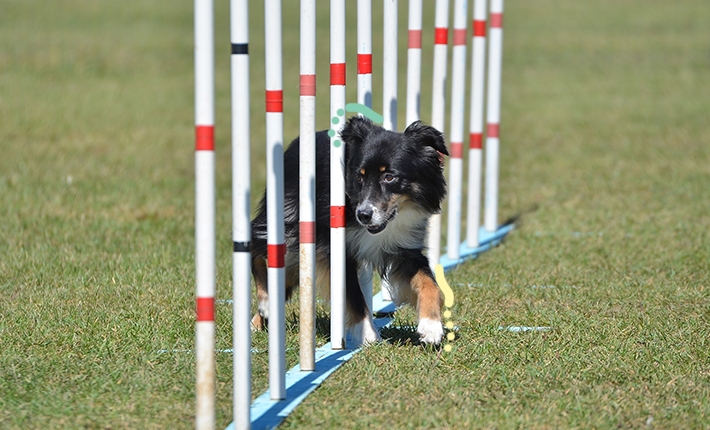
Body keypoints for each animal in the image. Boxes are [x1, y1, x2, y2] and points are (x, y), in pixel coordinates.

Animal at [252, 116, 450, 344]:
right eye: (359, 177)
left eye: (389, 177)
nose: (363, 215)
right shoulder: (335, 248)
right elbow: (353, 294)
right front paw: (368, 335)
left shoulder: (404, 247)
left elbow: (430, 283)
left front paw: (431, 326)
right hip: (288, 219)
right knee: (256, 248)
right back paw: (265, 303)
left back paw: (259, 321)